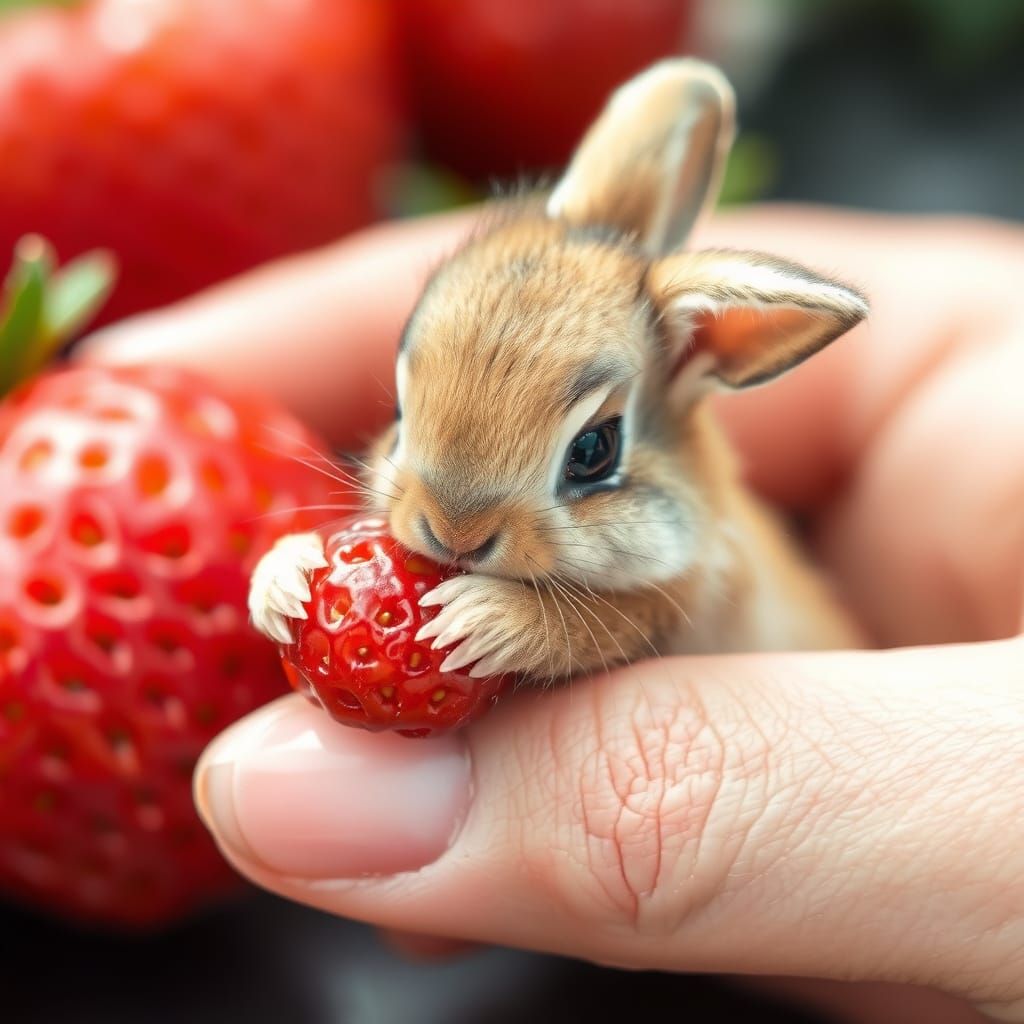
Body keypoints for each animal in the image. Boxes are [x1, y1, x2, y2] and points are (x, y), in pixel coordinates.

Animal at [248, 58, 867, 682]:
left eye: (595, 450)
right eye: (399, 412)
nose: (454, 534)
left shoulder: (668, 607)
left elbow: (585, 625)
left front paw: (478, 618)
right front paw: (283, 579)